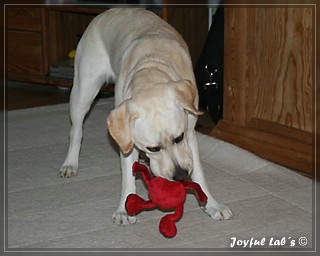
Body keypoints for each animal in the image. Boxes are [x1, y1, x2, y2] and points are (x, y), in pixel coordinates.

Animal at [59, 8, 232, 224]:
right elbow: (127, 175)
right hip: (83, 90)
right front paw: (124, 209)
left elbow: (199, 173)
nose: (181, 175)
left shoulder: (190, 135)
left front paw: (212, 205)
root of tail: (107, 11)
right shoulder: (126, 141)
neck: (151, 71)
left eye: (179, 138)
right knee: (76, 131)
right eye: (153, 148)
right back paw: (70, 163)